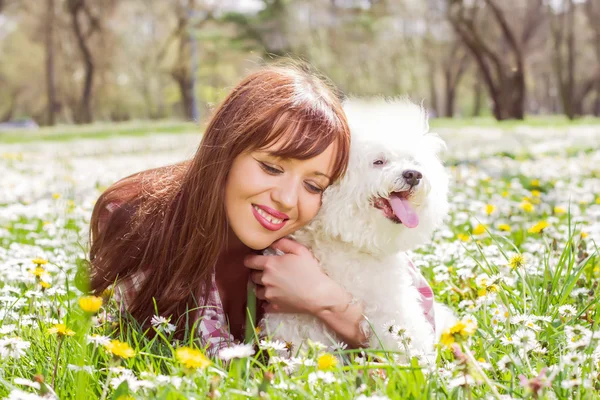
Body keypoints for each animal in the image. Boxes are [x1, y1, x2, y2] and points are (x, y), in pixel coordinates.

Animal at [262, 97, 454, 362]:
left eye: (414, 162)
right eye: (379, 161)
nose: (414, 175)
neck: (344, 242)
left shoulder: (392, 304)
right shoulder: (294, 319)